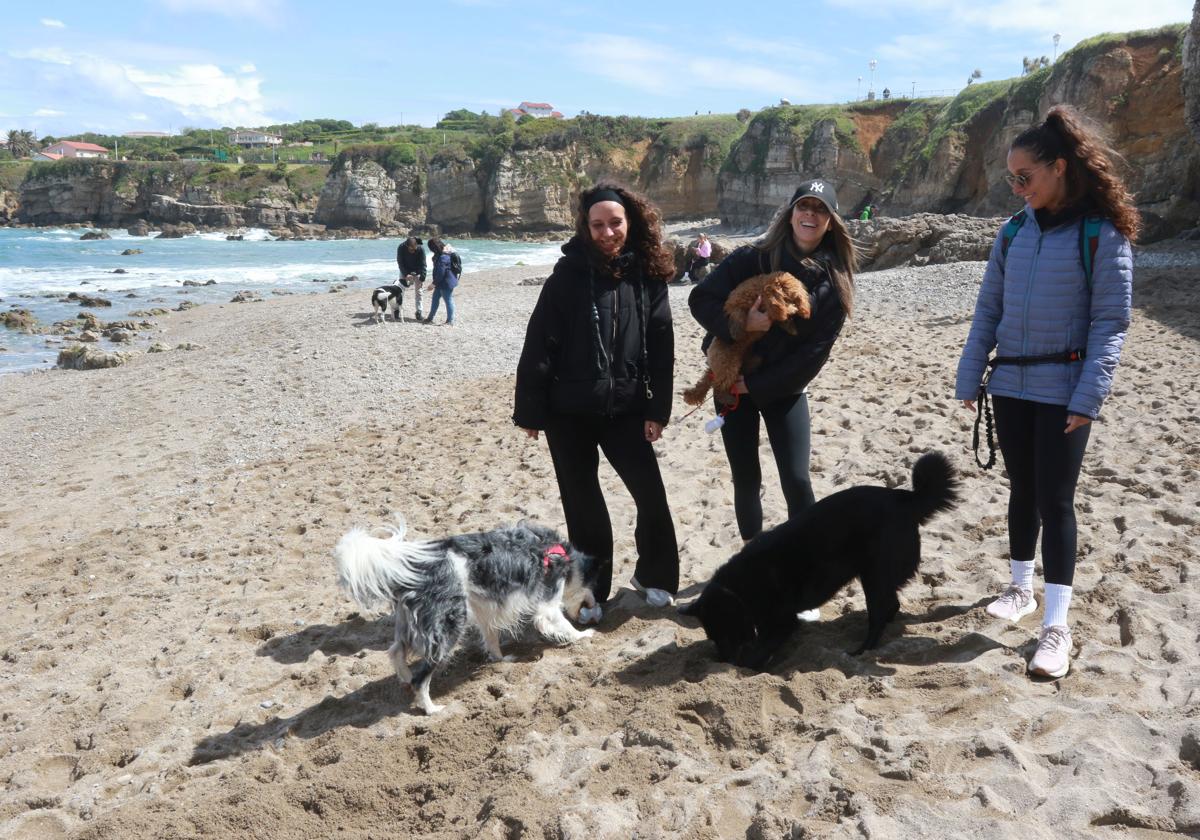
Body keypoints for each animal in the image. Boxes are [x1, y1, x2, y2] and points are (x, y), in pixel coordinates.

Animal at [333, 516, 600, 710]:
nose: (595, 608)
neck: (558, 554)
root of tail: (413, 568)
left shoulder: (486, 608)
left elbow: (491, 636)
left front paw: (501, 659)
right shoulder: (548, 602)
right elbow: (560, 622)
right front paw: (583, 635)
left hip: (411, 623)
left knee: (396, 651)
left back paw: (405, 679)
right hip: (447, 625)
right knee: (422, 678)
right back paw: (431, 709)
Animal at [681, 453, 960, 667]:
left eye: (724, 630)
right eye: (712, 636)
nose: (723, 661)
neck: (739, 589)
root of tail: (907, 499)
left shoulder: (781, 622)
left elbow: (756, 654)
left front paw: (751, 664)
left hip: (874, 574)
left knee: (881, 611)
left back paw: (862, 649)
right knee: (891, 605)